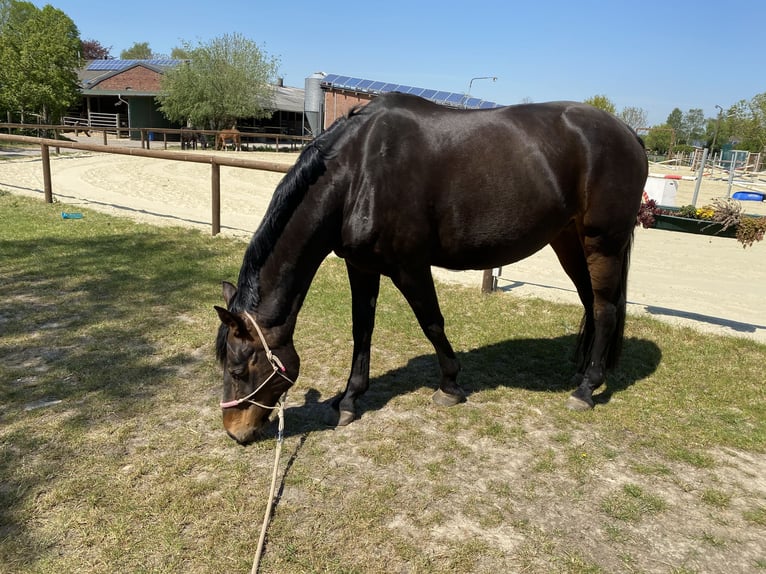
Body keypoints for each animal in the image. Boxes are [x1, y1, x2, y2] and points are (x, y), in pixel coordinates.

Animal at [214, 92, 648, 445]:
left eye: (237, 369)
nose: (235, 433)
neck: (358, 172)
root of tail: (628, 133)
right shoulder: (361, 266)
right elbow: (362, 329)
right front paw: (350, 398)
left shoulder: (410, 267)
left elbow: (432, 323)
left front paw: (450, 385)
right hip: (569, 241)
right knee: (591, 303)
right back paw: (582, 373)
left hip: (603, 243)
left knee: (606, 310)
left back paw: (587, 389)